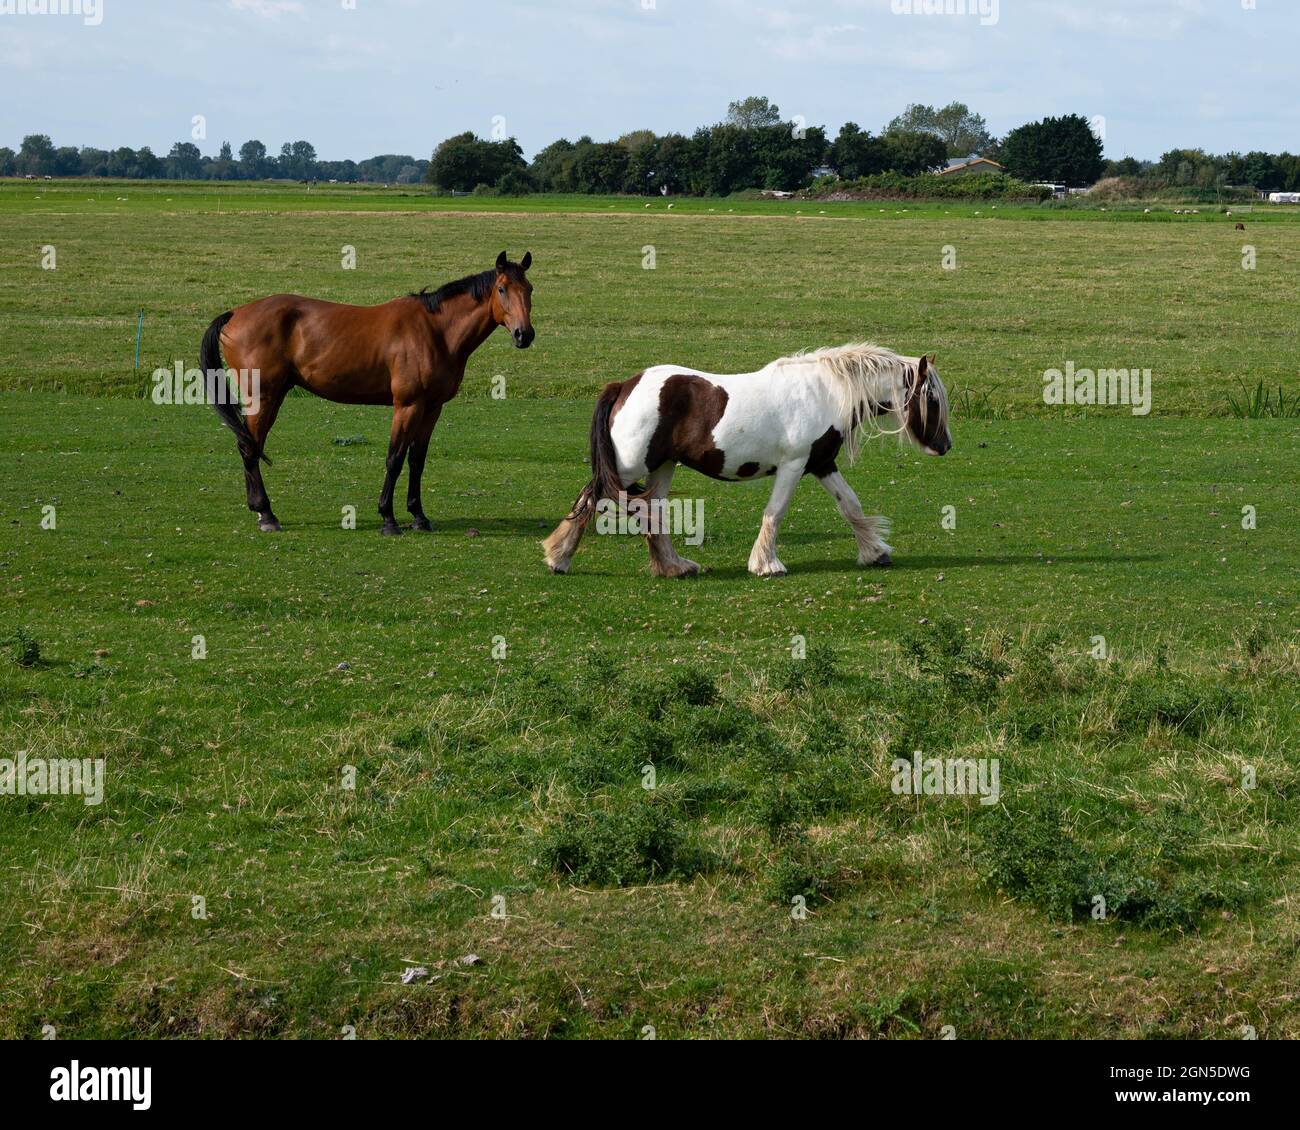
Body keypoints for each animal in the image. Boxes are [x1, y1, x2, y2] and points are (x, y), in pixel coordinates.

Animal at [200, 251, 534, 535]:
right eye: (502, 289)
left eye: (529, 289)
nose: (524, 335)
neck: (436, 331)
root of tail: (236, 313)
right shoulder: (407, 406)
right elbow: (395, 458)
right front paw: (388, 518)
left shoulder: (432, 408)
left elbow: (417, 460)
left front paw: (419, 516)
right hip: (263, 398)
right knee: (249, 448)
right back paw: (266, 514)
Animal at [542, 343, 951, 577]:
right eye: (931, 398)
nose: (945, 445)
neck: (824, 392)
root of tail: (625, 385)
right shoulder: (794, 465)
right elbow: (776, 512)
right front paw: (767, 565)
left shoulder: (820, 463)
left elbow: (850, 505)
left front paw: (875, 552)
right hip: (630, 467)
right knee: (589, 499)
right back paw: (558, 559)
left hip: (661, 467)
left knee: (652, 511)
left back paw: (675, 568)